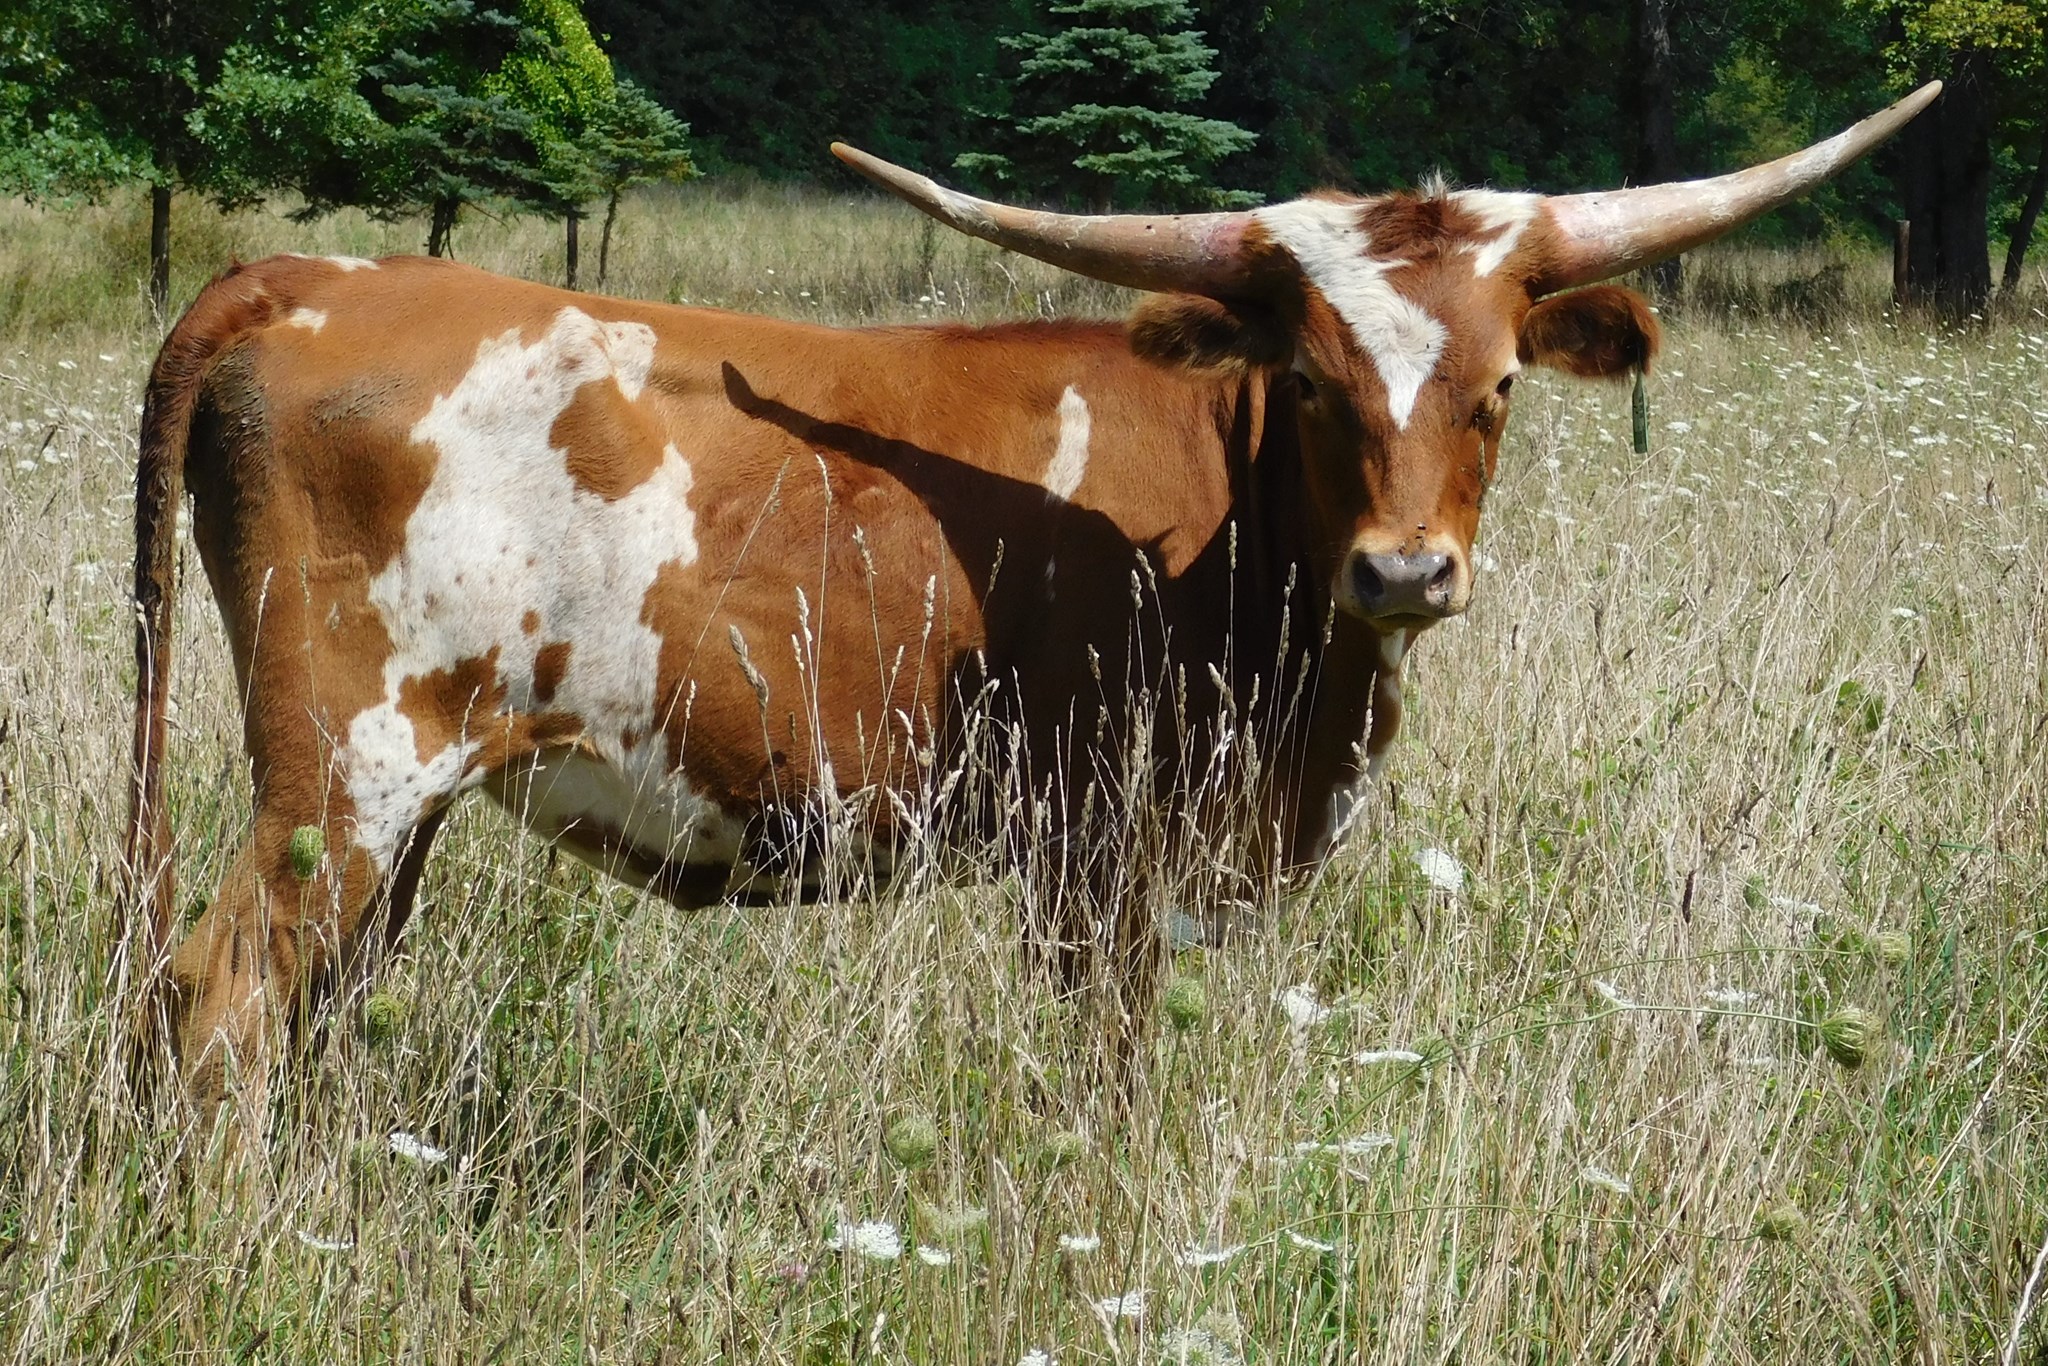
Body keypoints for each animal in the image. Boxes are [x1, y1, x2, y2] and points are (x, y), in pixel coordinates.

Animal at [121, 85, 1939, 1105]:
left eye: (1495, 388)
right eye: (1316, 380)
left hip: (399, 802)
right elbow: (1103, 1077)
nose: (1407, 568)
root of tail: (302, 279)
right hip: (343, 771)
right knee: (217, 1002)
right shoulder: (1105, 857)